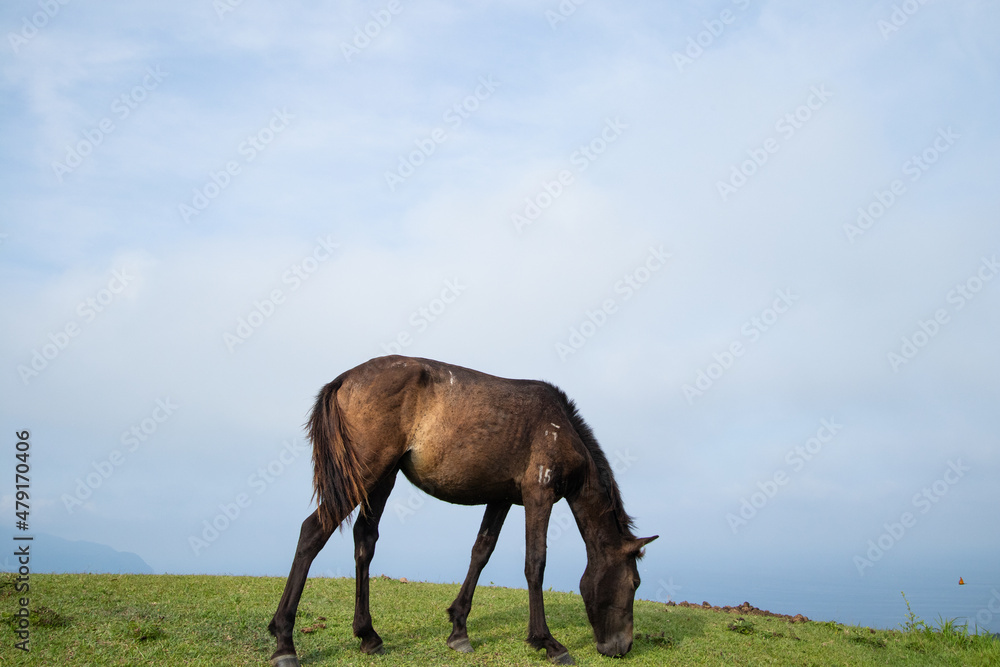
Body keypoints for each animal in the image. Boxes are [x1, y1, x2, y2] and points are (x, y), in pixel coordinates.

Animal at [268, 355, 657, 666]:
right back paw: (284, 641)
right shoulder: (539, 494)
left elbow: (481, 552)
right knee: (312, 532)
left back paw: (368, 635)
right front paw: (547, 642)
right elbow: (535, 562)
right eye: (635, 583)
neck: (561, 428)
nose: (622, 647)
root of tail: (345, 378)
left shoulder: (501, 499)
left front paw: (459, 629)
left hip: (381, 479)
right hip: (364, 475)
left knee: (364, 541)